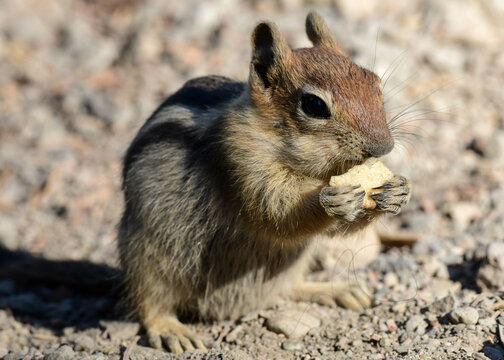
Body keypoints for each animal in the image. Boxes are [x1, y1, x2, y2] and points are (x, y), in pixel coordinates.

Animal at [118, 11, 410, 354]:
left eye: (376, 84)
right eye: (314, 105)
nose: (384, 147)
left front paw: (399, 191)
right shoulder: (239, 159)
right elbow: (274, 212)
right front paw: (329, 201)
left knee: (288, 288)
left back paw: (335, 289)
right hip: (146, 257)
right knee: (151, 304)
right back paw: (171, 331)